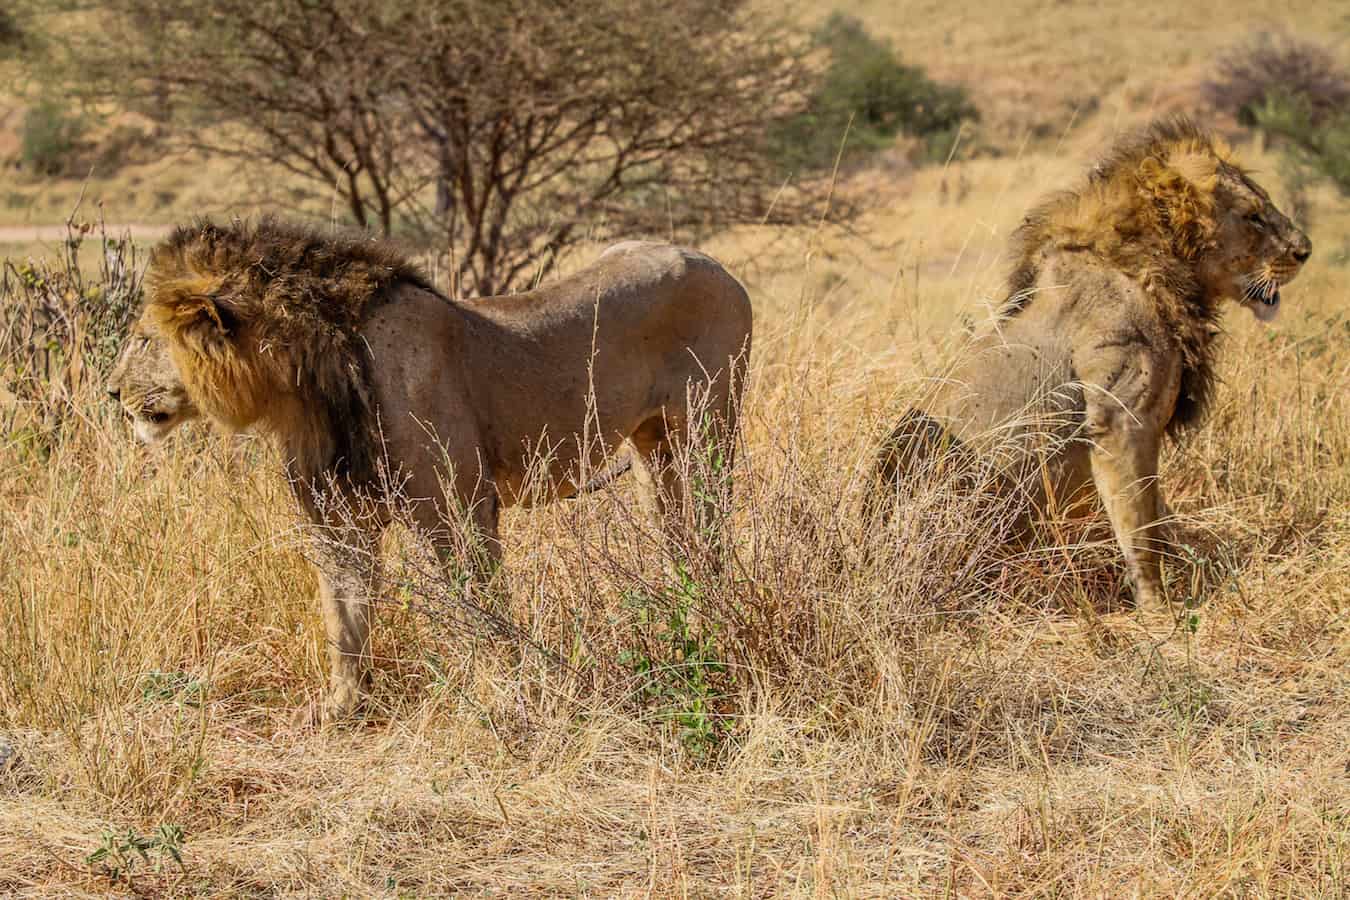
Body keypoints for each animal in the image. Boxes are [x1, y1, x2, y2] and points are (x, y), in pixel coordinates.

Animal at [110, 221, 756, 723]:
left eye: (142, 339)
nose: (112, 391)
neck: (302, 388)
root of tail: (717, 265)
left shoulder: (457, 510)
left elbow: (478, 610)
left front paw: (501, 693)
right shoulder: (339, 520)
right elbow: (343, 615)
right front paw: (342, 707)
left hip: (706, 434)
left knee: (712, 530)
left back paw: (713, 622)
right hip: (654, 454)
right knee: (680, 540)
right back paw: (684, 620)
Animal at [874, 119, 1306, 609]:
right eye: (1253, 216)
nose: (1305, 250)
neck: (1157, 264)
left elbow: (1156, 518)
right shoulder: (1121, 421)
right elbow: (1139, 527)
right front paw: (1159, 609)